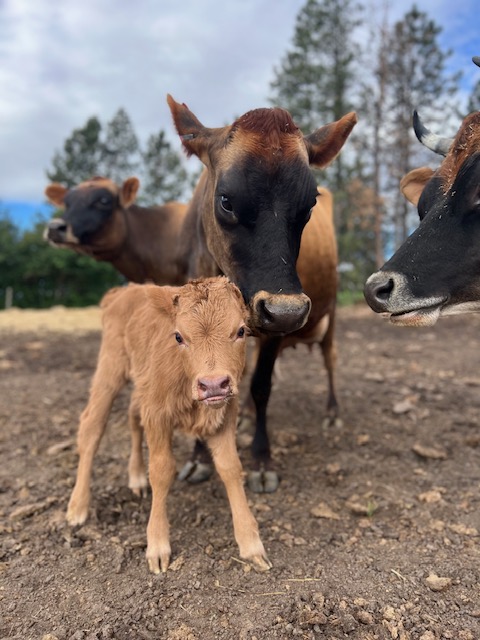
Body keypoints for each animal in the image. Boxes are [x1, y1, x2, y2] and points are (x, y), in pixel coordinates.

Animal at [66, 276, 271, 574]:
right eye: (178, 337)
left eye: (241, 330)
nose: (213, 385)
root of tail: (123, 291)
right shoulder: (157, 415)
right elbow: (162, 470)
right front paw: (158, 546)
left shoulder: (225, 415)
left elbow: (230, 468)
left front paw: (251, 544)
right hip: (110, 370)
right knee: (92, 427)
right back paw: (77, 507)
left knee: (132, 416)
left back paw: (136, 478)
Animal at [167, 95, 357, 492]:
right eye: (226, 200)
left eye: (310, 204)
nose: (287, 311)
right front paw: (198, 457)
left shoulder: (274, 325)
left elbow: (261, 385)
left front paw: (261, 460)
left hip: (329, 312)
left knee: (330, 358)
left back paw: (332, 412)